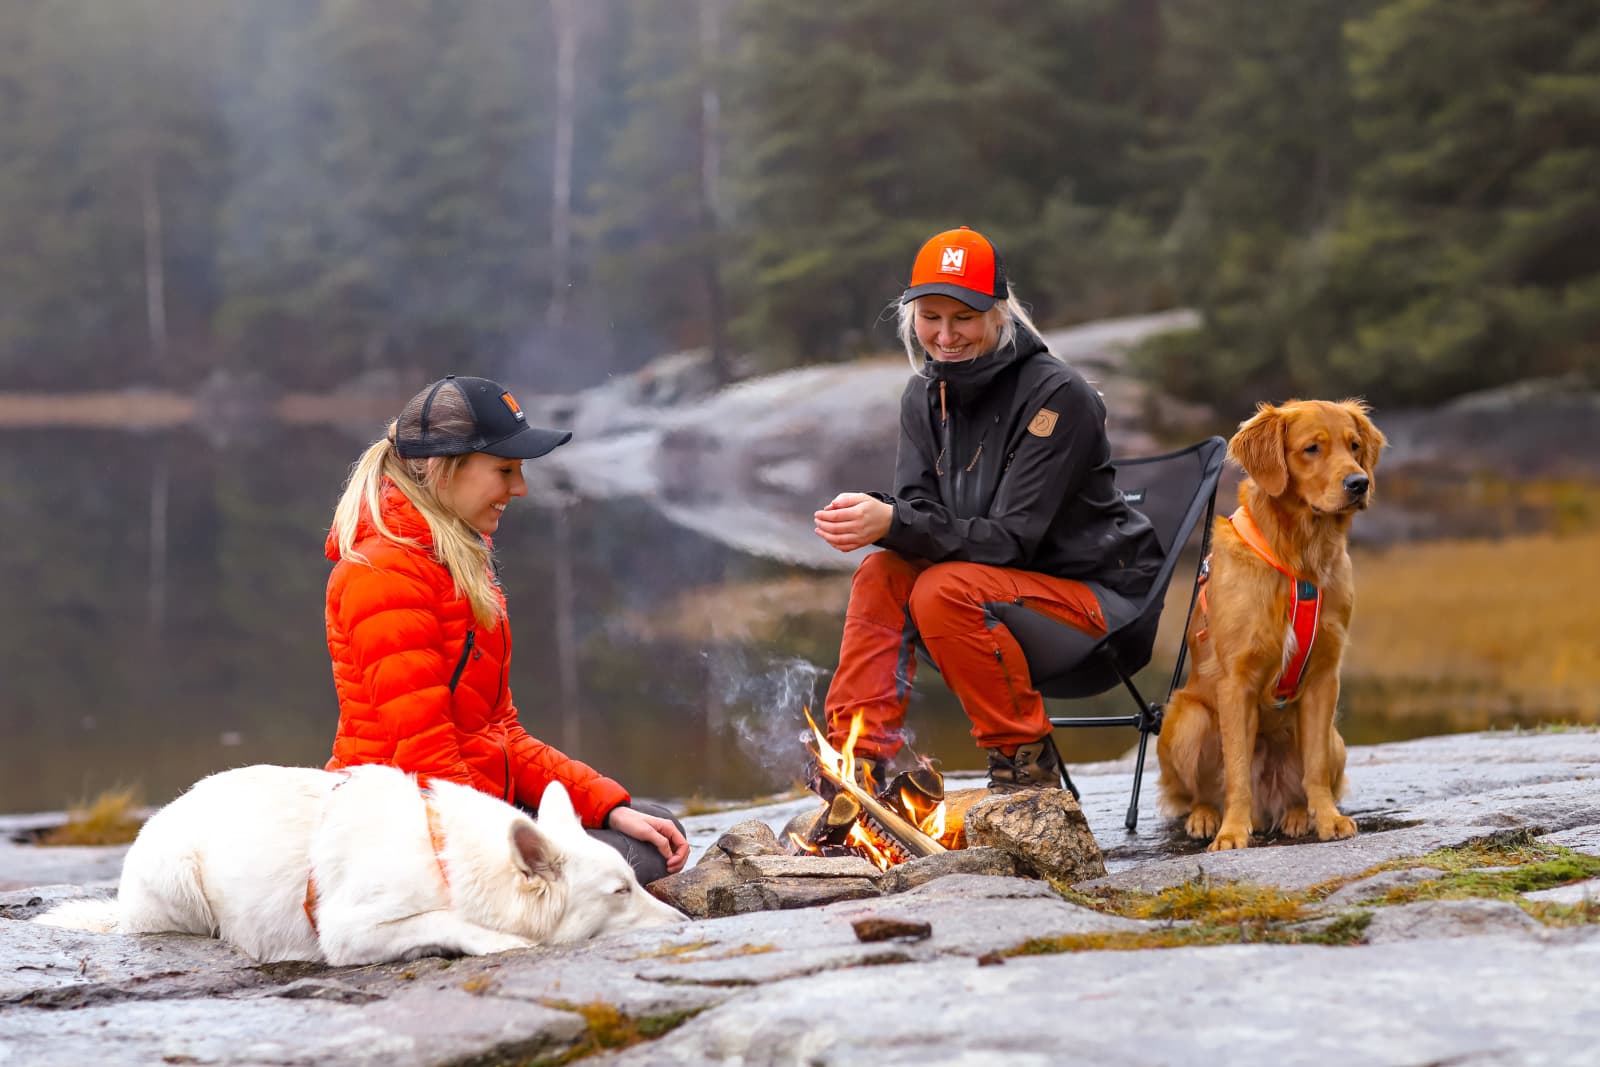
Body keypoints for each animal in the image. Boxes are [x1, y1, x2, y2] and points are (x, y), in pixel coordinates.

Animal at [37, 764, 684, 966]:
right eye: (620, 891)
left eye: (635, 883)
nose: (685, 927)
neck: (447, 856)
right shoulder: (346, 930)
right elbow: (443, 919)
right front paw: (499, 941)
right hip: (179, 879)